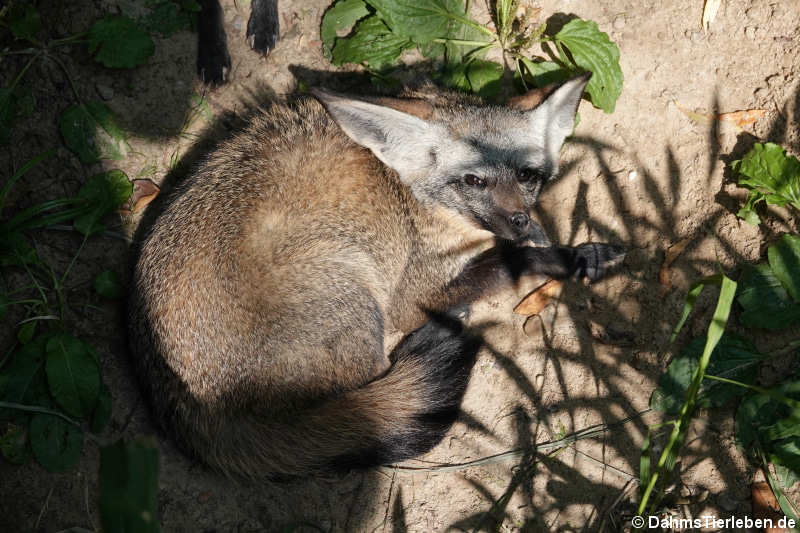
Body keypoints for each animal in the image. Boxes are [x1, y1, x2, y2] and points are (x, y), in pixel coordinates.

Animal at [128, 71, 624, 478]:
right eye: (473, 181)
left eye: (527, 176)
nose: (520, 221)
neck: (405, 189)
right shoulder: (413, 294)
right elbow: (508, 262)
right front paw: (568, 256)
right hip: (357, 289)